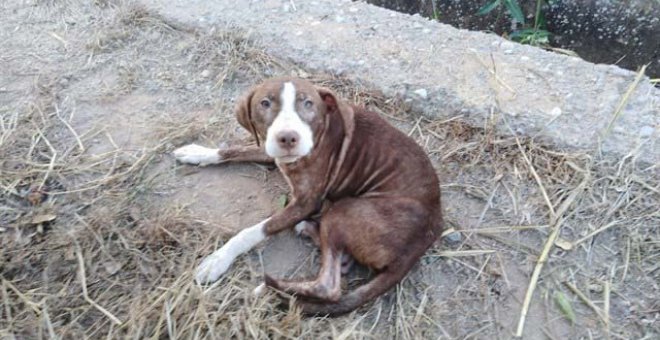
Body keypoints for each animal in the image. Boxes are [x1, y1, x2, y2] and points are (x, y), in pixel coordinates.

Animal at [175, 77, 444, 316]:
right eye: (265, 103)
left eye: (307, 103)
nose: (287, 138)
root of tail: (426, 237)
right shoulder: (269, 149)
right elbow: (235, 150)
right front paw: (200, 153)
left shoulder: (306, 202)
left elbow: (253, 231)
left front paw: (218, 259)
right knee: (338, 264)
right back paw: (310, 233)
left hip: (345, 210)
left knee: (329, 287)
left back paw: (272, 290)